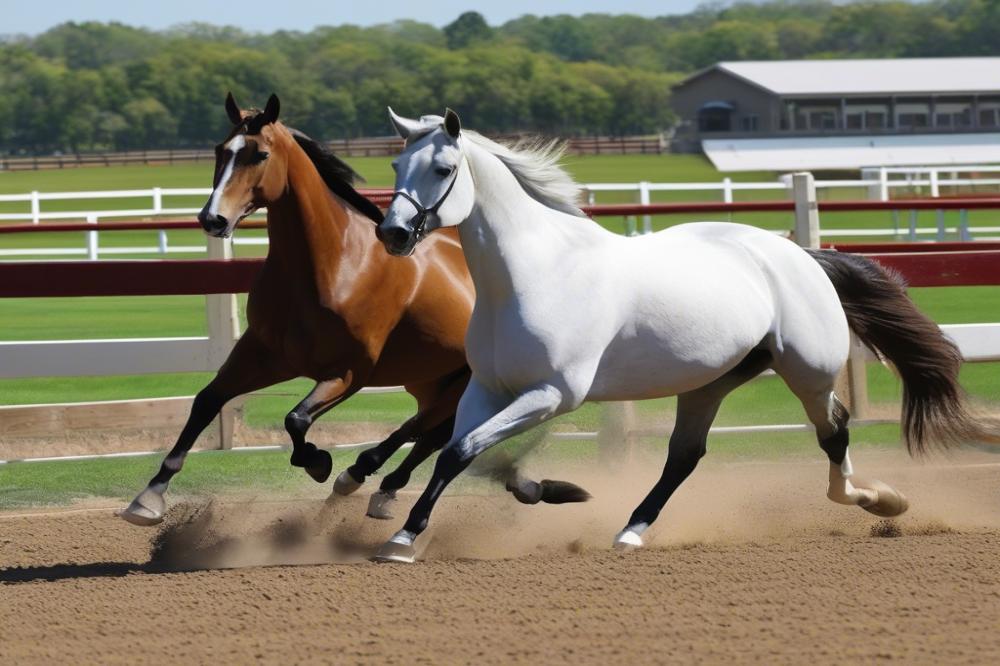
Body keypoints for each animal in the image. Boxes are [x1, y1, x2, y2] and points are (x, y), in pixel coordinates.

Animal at [372, 107, 988, 560]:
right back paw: (631, 531)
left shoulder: (552, 394)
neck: (535, 273)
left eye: (443, 169)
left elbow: (459, 451)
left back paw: (879, 500)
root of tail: (800, 255)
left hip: (806, 372)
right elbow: (456, 451)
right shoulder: (488, 389)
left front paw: (402, 537)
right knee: (684, 456)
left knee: (833, 431)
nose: (394, 234)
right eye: (397, 165)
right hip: (708, 383)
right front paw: (407, 528)